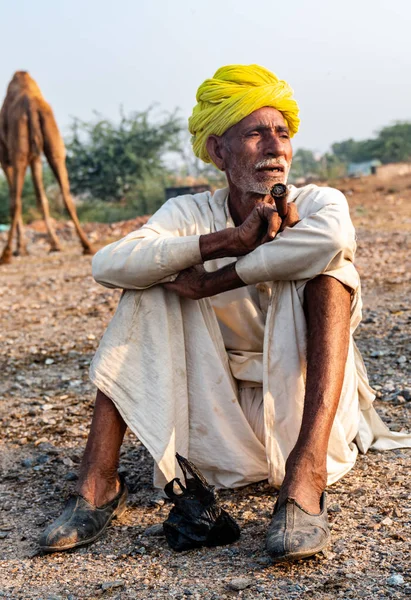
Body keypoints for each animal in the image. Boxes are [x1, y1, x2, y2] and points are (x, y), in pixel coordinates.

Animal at [0, 71, 94, 264]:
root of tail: (31, 105)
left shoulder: (5, 159)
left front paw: (20, 249)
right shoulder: (35, 158)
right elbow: (42, 199)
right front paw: (54, 245)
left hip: (18, 153)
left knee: (15, 201)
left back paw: (6, 254)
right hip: (54, 142)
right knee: (66, 194)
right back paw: (87, 246)